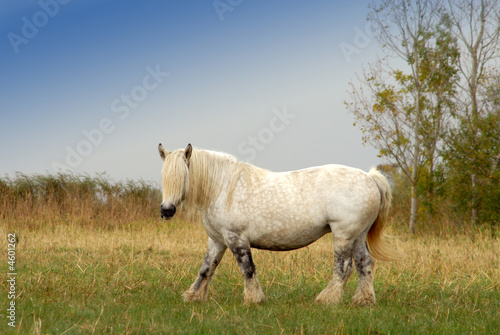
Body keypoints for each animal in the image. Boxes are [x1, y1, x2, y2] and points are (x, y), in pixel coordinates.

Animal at [158, 143, 396, 306]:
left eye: (182, 177)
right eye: (164, 177)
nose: (166, 210)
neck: (222, 188)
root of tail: (369, 178)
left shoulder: (236, 239)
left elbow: (247, 269)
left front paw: (254, 299)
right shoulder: (217, 241)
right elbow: (206, 268)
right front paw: (193, 296)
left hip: (343, 235)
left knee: (343, 268)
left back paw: (327, 299)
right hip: (358, 235)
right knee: (365, 264)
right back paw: (363, 300)